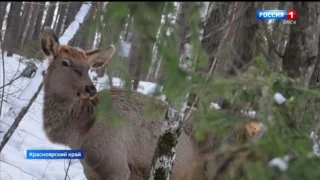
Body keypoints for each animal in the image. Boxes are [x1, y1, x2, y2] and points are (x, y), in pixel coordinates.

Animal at [40, 27, 198, 180]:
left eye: (88, 67)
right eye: (65, 62)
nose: (91, 88)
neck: (81, 135)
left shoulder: (117, 167)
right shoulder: (90, 170)